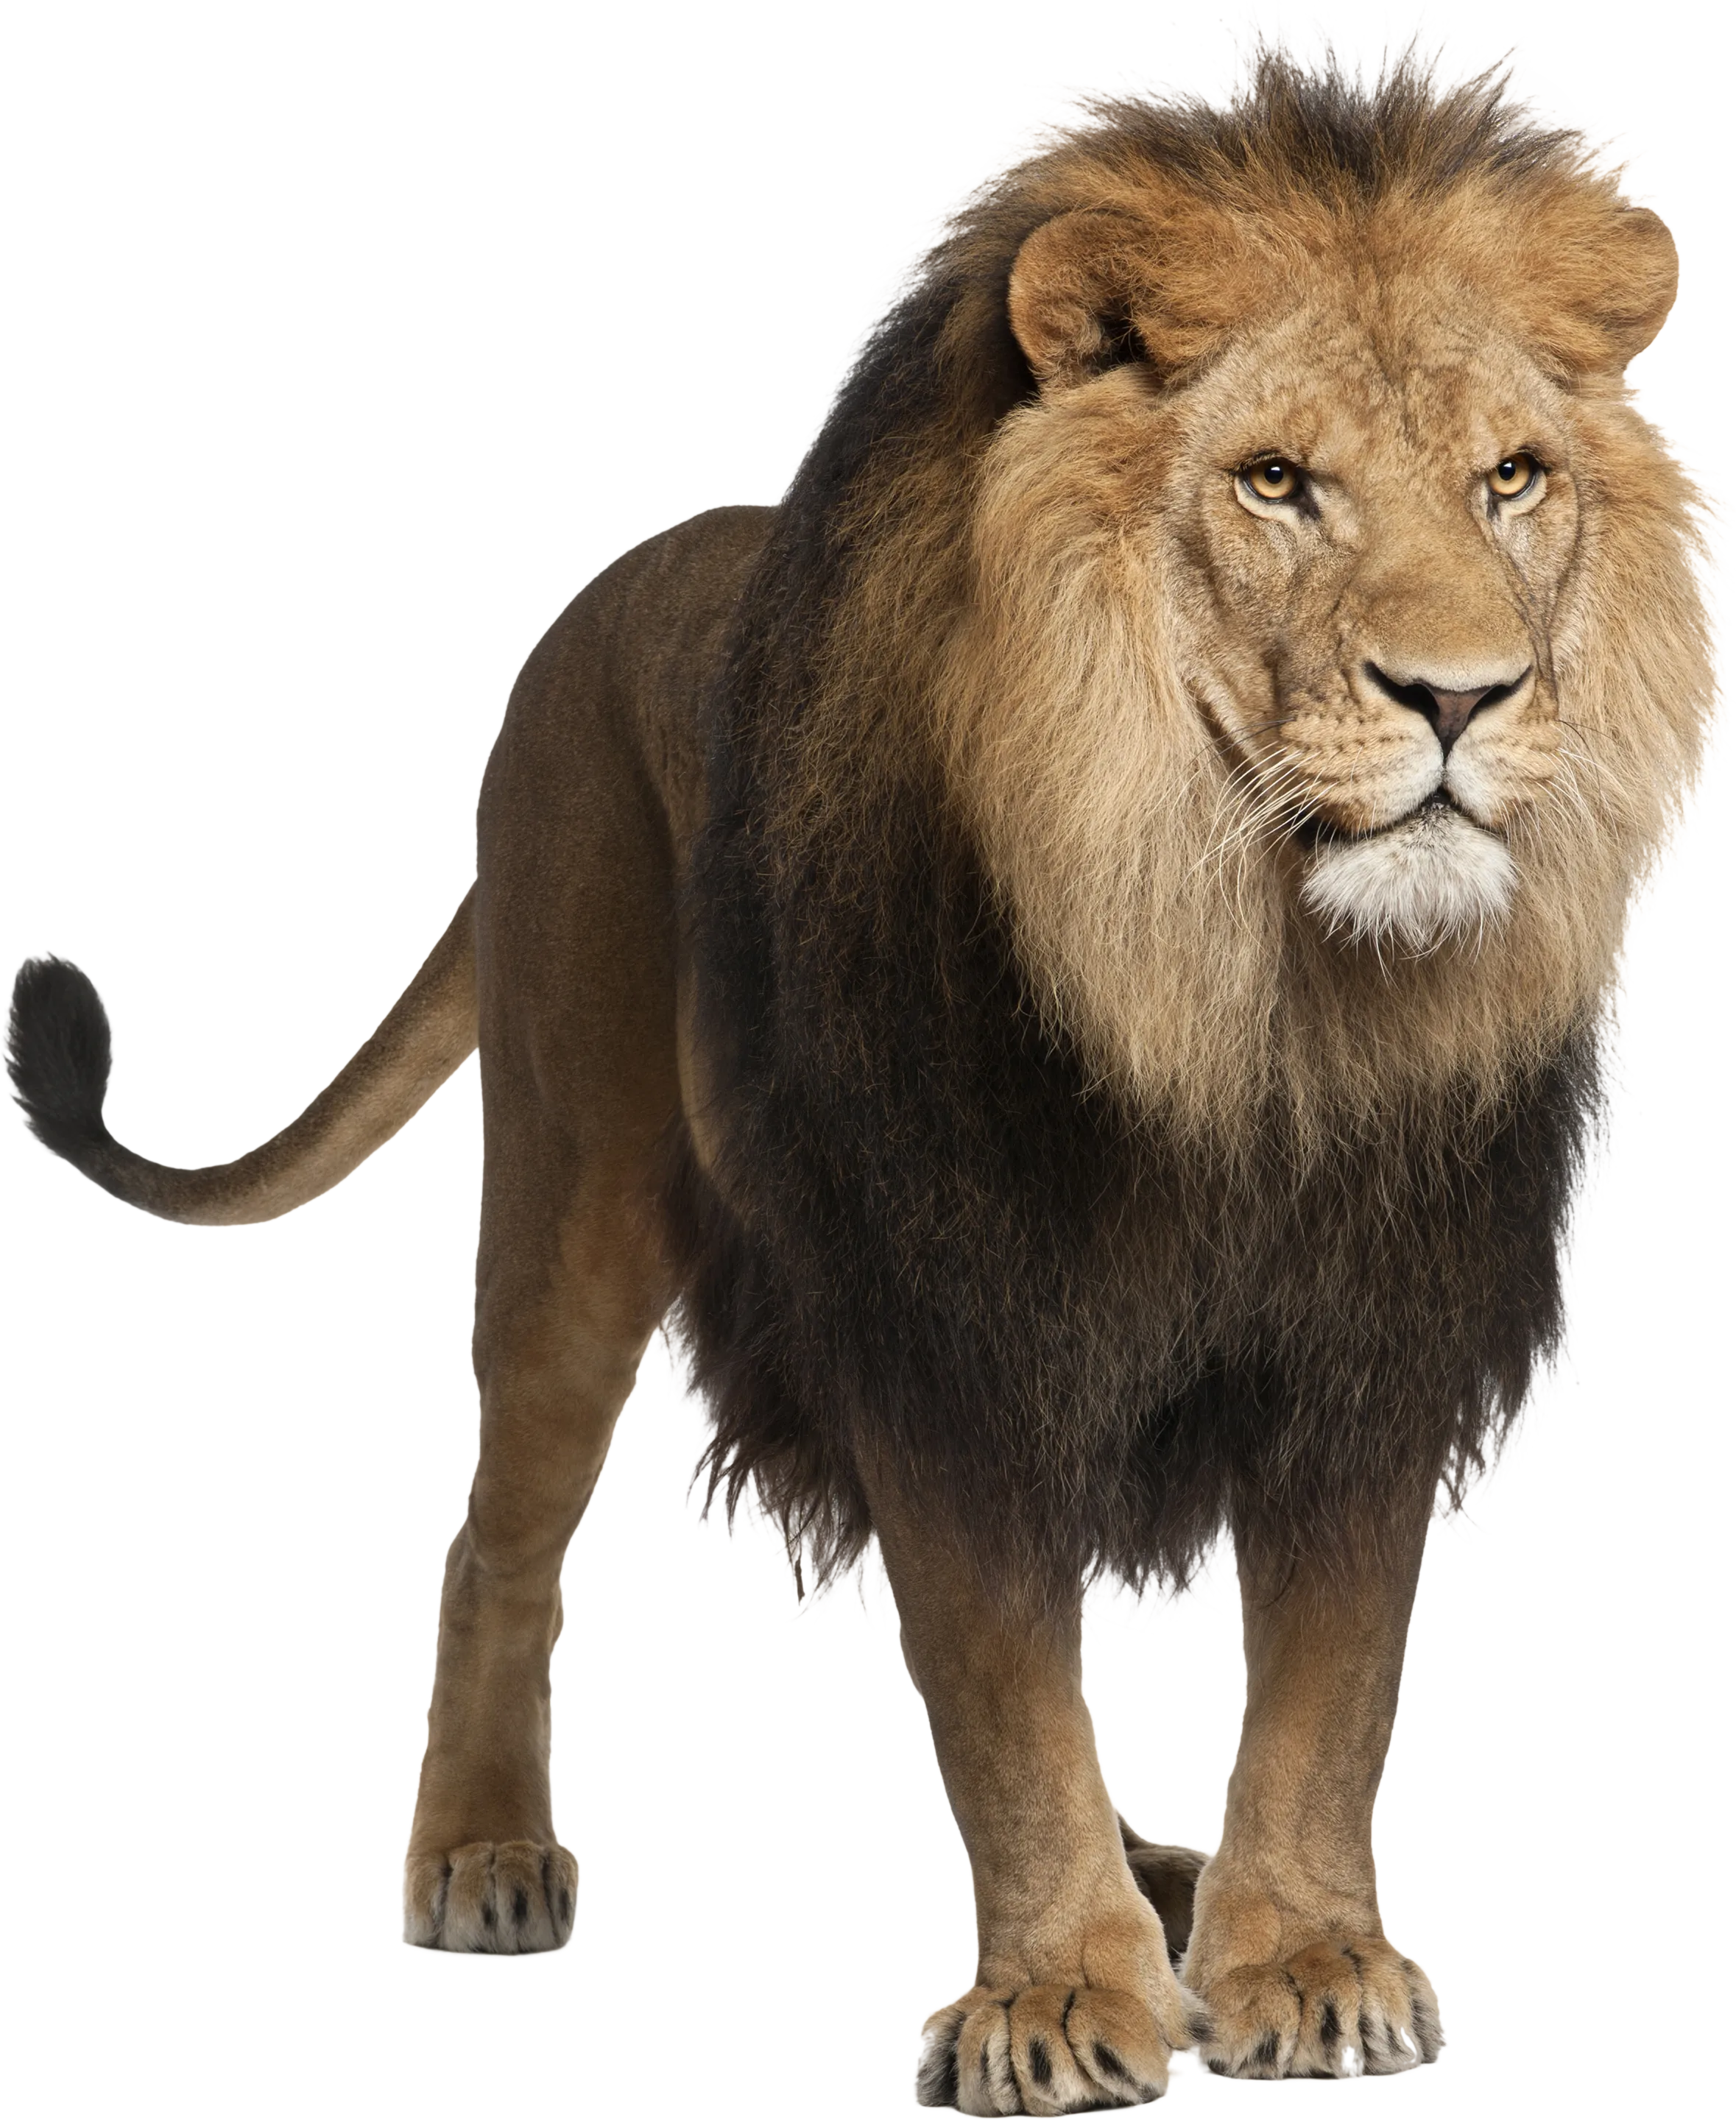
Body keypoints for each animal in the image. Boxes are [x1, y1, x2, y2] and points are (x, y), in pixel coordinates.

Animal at [5, 6, 1728, 2108]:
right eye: (1272, 482)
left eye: (1510, 477)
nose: (1463, 696)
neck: (1240, 993)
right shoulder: (944, 1310)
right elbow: (998, 1682)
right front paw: (1059, 1995)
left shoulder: (1371, 1333)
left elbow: (1329, 1683)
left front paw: (1300, 1956)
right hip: (574, 1181)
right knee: (496, 1531)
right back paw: (481, 1852)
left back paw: (1165, 1874)